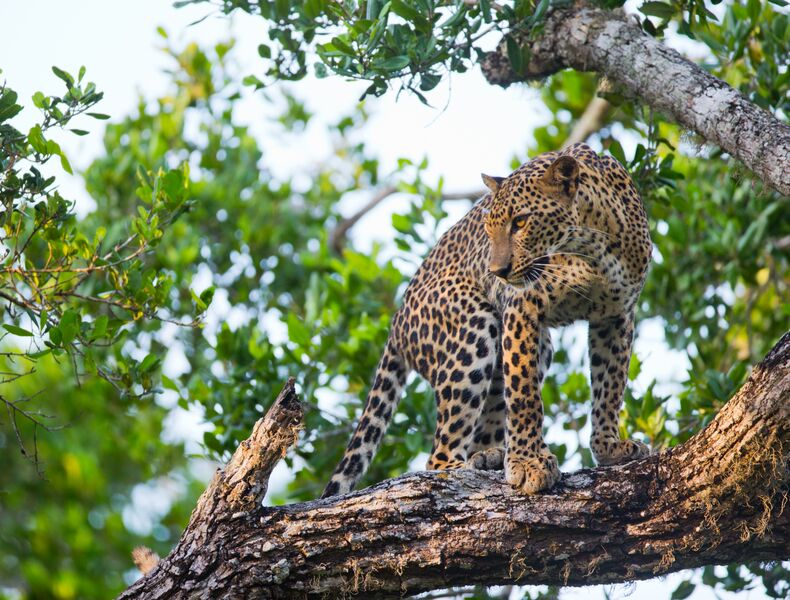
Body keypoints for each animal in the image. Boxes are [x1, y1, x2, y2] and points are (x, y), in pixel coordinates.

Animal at [322, 142, 652, 498]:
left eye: (520, 222)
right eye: (488, 229)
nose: (498, 272)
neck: (594, 248)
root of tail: (397, 321)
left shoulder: (616, 316)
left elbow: (610, 387)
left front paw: (608, 448)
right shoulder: (522, 306)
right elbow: (524, 396)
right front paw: (529, 464)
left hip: (535, 347)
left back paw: (488, 456)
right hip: (474, 330)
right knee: (438, 455)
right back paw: (463, 467)